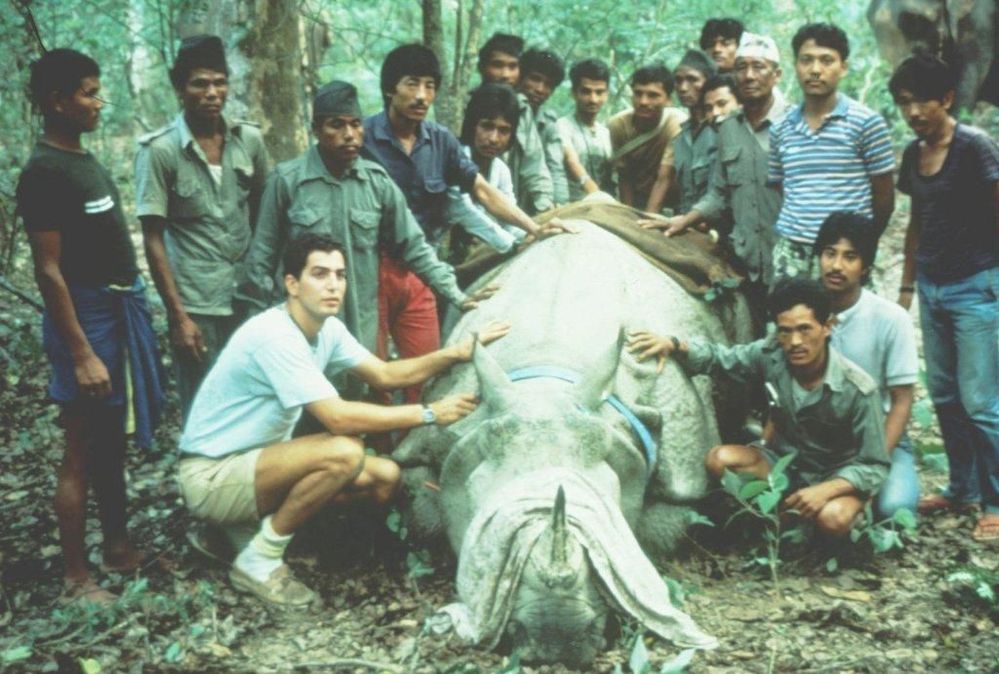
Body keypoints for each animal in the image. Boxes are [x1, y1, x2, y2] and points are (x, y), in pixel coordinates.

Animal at [393, 214, 751, 666]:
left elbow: (657, 533)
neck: (547, 376)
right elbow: (426, 515)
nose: (555, 641)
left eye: (612, 508)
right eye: (478, 512)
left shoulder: (684, 478)